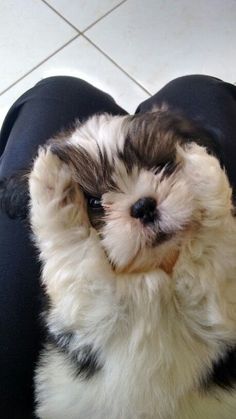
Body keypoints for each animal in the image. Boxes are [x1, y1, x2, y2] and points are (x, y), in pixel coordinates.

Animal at [2, 106, 236, 418]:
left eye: (162, 166)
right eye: (94, 203)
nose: (144, 206)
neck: (151, 277)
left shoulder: (216, 299)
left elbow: (213, 240)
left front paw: (200, 167)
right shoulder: (88, 304)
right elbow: (71, 241)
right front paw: (50, 178)